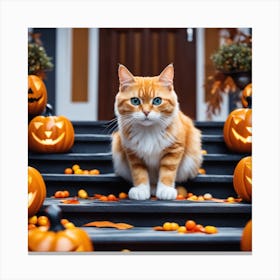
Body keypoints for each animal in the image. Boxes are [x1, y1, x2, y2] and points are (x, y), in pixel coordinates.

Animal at [111, 64, 201, 199]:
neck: (148, 130)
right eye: (135, 101)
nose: (146, 112)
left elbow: (168, 171)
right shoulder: (133, 153)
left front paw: (166, 190)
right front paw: (141, 190)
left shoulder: (174, 149)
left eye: (157, 101)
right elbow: (139, 172)